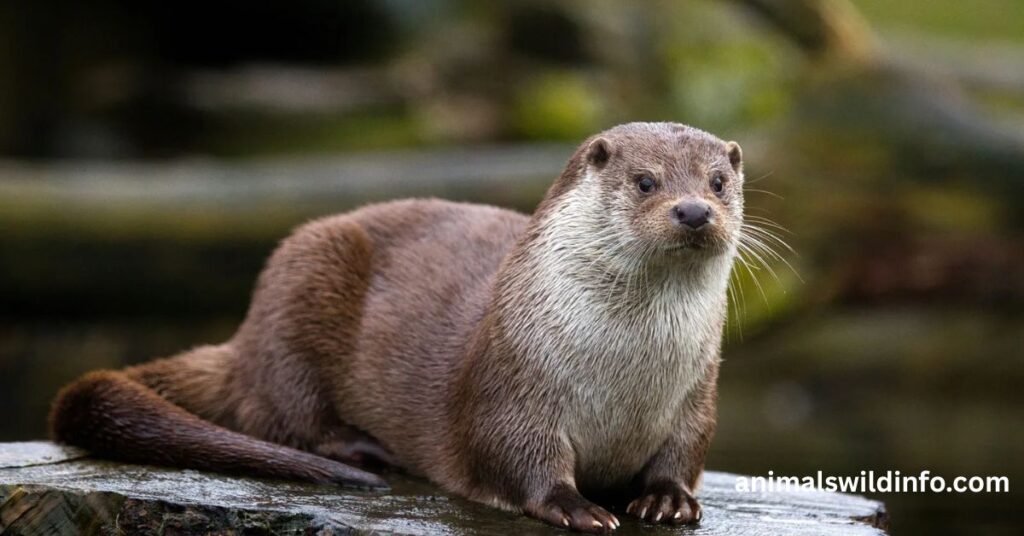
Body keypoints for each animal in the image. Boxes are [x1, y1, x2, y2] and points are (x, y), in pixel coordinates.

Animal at [50, 122, 745, 532]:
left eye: (719, 182)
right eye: (645, 181)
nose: (693, 210)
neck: (626, 376)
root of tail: (244, 339)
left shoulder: (697, 395)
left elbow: (687, 451)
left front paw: (667, 500)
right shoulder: (511, 384)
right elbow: (516, 456)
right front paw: (577, 507)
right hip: (300, 282)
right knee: (279, 412)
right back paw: (361, 449)